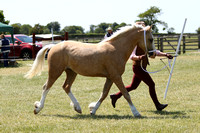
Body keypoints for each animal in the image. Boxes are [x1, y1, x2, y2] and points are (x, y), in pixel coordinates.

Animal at [25, 24, 155, 117]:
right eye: (151, 39)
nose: (153, 54)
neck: (116, 48)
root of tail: (53, 46)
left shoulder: (110, 77)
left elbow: (104, 94)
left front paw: (93, 110)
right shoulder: (116, 76)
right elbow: (126, 94)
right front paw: (136, 113)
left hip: (71, 72)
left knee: (66, 87)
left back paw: (77, 108)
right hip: (55, 71)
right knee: (46, 87)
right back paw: (38, 108)